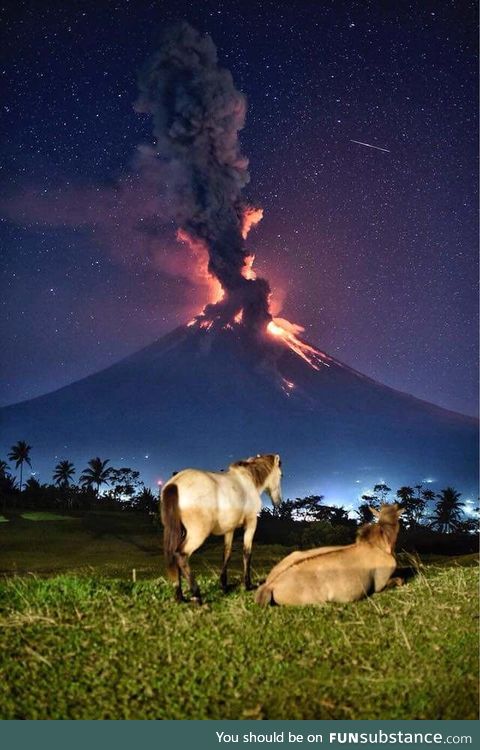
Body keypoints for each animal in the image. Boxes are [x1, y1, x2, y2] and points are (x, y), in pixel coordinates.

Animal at [159, 452, 284, 604]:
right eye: (281, 475)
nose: (278, 501)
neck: (247, 479)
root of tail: (175, 483)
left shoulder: (229, 529)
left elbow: (227, 554)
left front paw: (224, 585)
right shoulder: (251, 523)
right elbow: (247, 553)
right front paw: (248, 585)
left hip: (179, 531)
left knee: (173, 556)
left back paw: (180, 596)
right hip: (197, 534)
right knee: (181, 556)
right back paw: (197, 594)